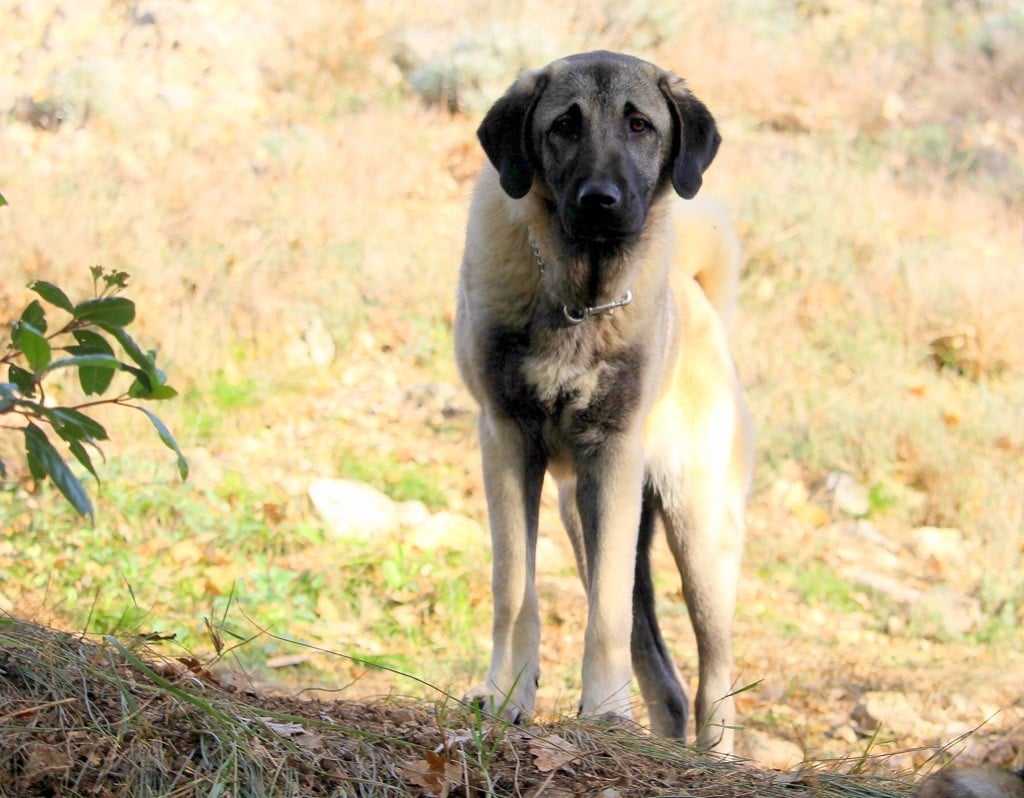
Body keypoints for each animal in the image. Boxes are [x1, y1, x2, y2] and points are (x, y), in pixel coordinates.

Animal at [456, 51, 753, 753]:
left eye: (640, 125)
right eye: (564, 125)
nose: (600, 201)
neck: (580, 297)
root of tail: (698, 297)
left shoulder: (611, 459)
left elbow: (605, 619)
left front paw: (606, 711)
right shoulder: (507, 445)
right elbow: (514, 591)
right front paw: (507, 695)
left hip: (697, 533)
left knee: (714, 673)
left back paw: (715, 756)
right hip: (582, 513)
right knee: (669, 685)